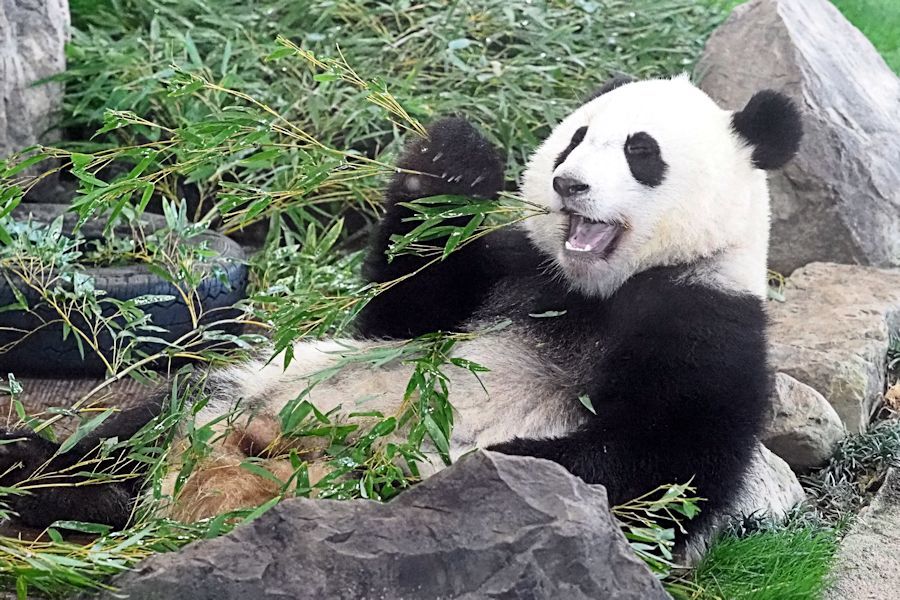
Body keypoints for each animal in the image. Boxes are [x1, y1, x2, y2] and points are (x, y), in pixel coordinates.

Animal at [0, 75, 800, 548]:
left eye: (641, 151)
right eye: (575, 138)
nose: (569, 184)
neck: (590, 289)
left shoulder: (707, 319)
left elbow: (660, 462)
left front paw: (464, 470)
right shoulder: (511, 266)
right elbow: (402, 309)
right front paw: (451, 160)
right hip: (249, 387)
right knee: (147, 419)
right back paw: (44, 474)